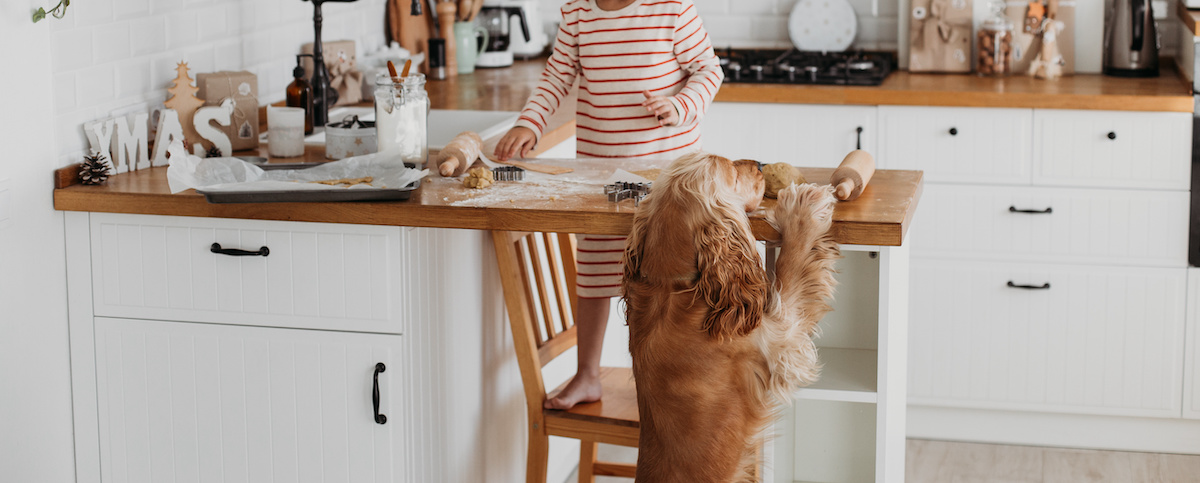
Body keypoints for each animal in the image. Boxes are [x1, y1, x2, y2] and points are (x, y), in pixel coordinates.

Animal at [624, 152, 840, 480]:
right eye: (731, 171)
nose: (761, 164)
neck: (671, 286)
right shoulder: (781, 341)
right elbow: (793, 265)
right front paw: (802, 208)